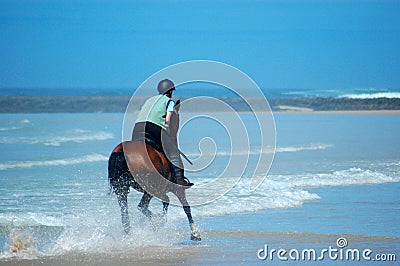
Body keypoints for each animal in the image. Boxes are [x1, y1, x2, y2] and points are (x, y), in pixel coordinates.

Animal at [108, 104, 200, 241]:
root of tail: (121, 153)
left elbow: (168, 202)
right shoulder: (177, 188)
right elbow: (185, 207)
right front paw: (194, 232)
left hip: (121, 189)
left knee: (125, 214)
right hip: (150, 187)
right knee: (143, 206)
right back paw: (155, 222)